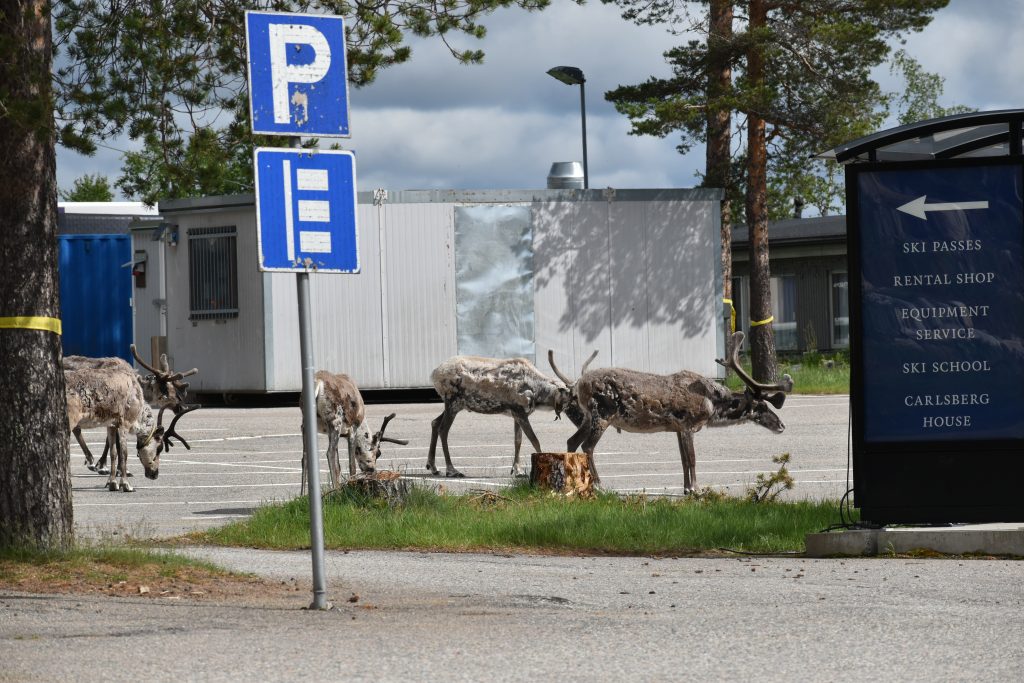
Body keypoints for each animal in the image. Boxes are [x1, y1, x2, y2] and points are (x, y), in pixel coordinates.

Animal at [64, 357, 197, 492]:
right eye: (159, 448)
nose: (155, 474)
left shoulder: (111, 424)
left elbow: (113, 452)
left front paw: (112, 482)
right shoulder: (125, 422)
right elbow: (124, 453)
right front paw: (125, 483)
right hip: (71, 419)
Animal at [427, 351, 597, 478]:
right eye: (575, 400)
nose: (586, 418)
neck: (538, 394)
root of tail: (434, 374)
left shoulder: (517, 414)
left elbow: (518, 440)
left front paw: (517, 470)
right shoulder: (520, 412)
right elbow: (535, 440)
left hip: (455, 405)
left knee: (435, 422)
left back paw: (433, 466)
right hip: (452, 402)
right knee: (443, 429)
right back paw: (451, 470)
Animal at [548, 331, 792, 492]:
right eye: (761, 406)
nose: (782, 425)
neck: (712, 405)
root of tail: (578, 384)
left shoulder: (676, 428)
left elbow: (683, 460)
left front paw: (686, 489)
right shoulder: (688, 424)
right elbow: (692, 459)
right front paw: (696, 489)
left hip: (588, 417)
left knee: (572, 441)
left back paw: (573, 481)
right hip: (603, 413)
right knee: (587, 446)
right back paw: (599, 485)